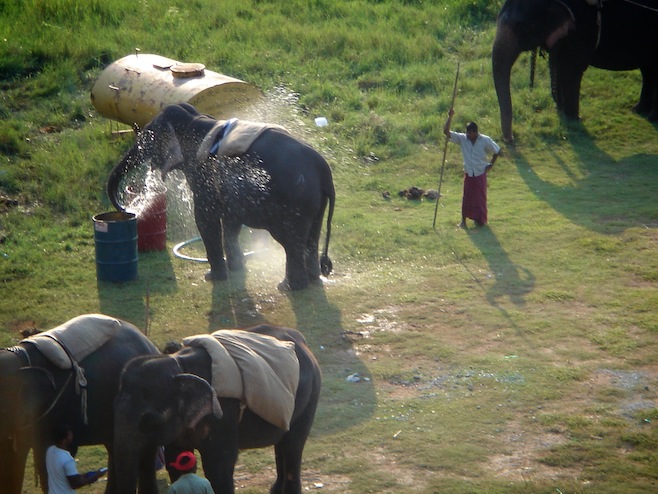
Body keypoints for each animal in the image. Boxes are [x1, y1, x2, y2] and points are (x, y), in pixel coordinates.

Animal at [106, 103, 335, 290]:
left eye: (147, 138)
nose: (129, 209)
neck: (195, 118)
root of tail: (323, 169)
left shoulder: (202, 172)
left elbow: (205, 218)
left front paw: (213, 277)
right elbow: (231, 221)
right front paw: (237, 269)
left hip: (294, 202)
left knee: (290, 241)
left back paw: (288, 287)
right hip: (314, 203)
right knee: (311, 237)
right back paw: (313, 279)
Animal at [112, 324, 322, 494]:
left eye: (149, 421)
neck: (178, 365)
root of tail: (299, 338)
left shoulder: (223, 412)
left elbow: (218, 464)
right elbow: (176, 458)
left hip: (312, 393)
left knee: (293, 444)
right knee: (282, 442)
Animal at [492, 0, 658, 142]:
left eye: (522, 28)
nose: (510, 139)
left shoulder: (580, 29)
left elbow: (569, 71)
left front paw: (572, 122)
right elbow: (558, 66)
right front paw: (561, 113)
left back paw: (651, 118)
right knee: (648, 70)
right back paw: (639, 111)